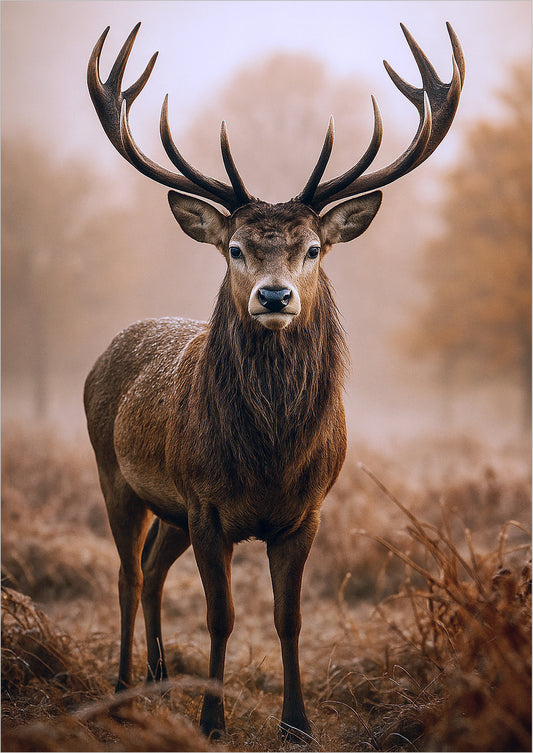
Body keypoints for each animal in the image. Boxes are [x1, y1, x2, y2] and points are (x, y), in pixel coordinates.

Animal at [84, 21, 464, 739]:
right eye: (234, 248)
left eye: (312, 248)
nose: (274, 295)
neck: (270, 459)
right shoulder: (206, 504)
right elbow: (221, 616)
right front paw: (211, 718)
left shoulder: (305, 511)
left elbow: (289, 618)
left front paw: (297, 722)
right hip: (115, 473)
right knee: (126, 573)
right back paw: (121, 691)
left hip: (170, 508)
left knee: (150, 569)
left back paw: (156, 681)